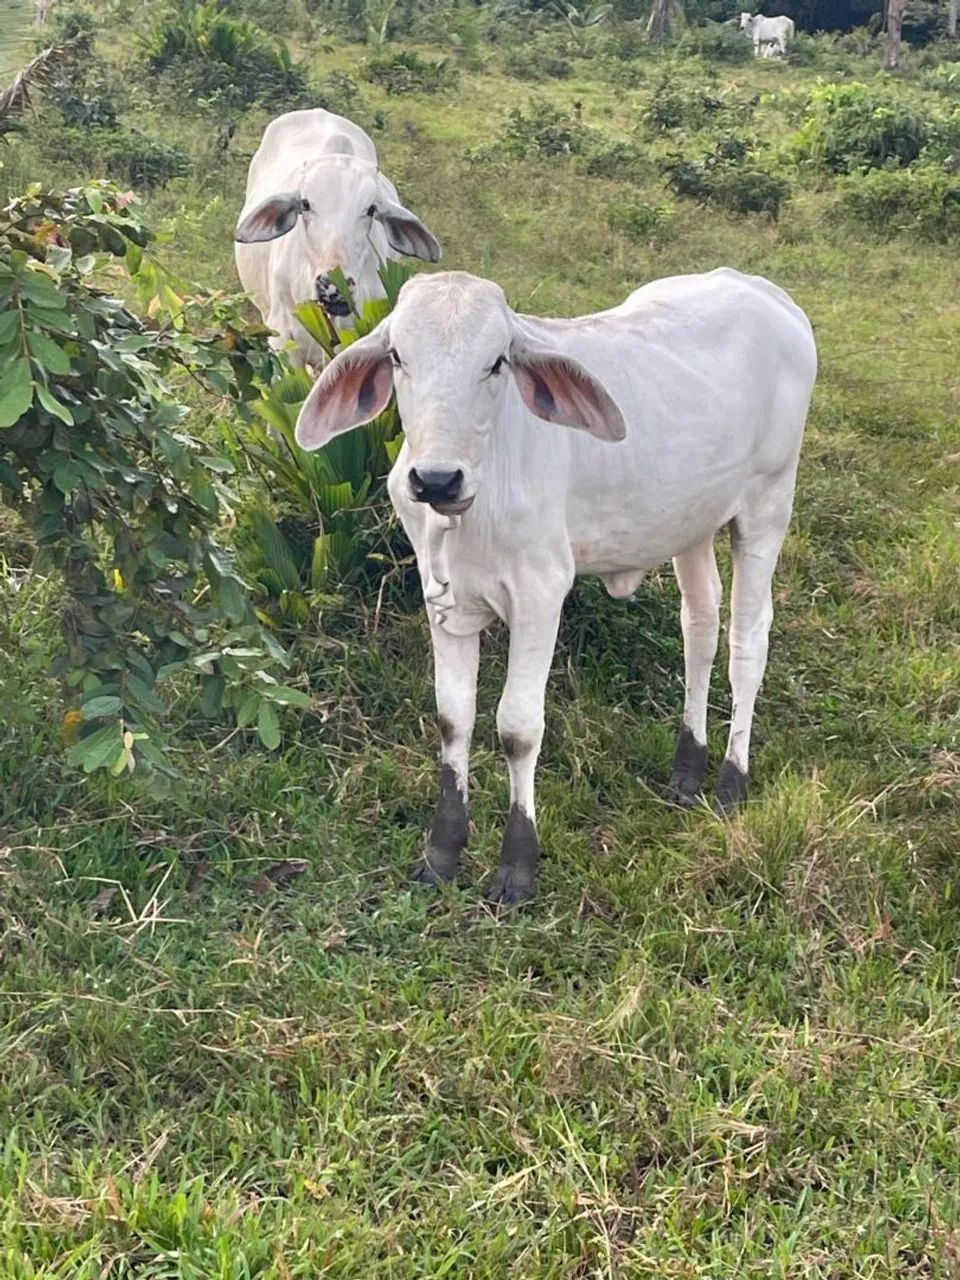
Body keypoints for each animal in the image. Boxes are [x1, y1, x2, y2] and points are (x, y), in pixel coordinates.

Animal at [294, 268, 818, 904]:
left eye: (497, 361)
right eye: (397, 356)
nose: (437, 479)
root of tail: (762, 290)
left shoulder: (541, 593)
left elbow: (518, 728)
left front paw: (517, 865)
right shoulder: (442, 597)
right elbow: (453, 717)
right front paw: (441, 853)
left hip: (767, 507)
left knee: (748, 642)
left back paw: (729, 785)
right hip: (689, 522)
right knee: (701, 625)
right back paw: (686, 770)